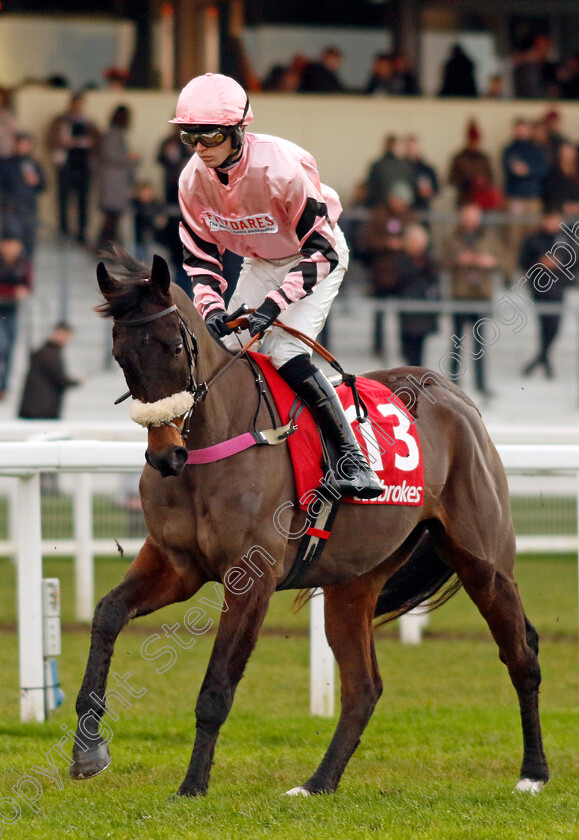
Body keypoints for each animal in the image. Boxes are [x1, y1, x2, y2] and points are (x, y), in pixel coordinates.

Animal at [70, 254, 552, 800]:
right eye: (120, 354)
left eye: (174, 346)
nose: (165, 454)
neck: (216, 441)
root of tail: (450, 390)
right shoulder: (176, 563)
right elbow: (108, 614)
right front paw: (89, 749)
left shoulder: (251, 578)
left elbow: (217, 688)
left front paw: (192, 786)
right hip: (354, 580)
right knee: (364, 687)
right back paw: (317, 783)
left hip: (482, 561)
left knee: (522, 655)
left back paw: (533, 772)